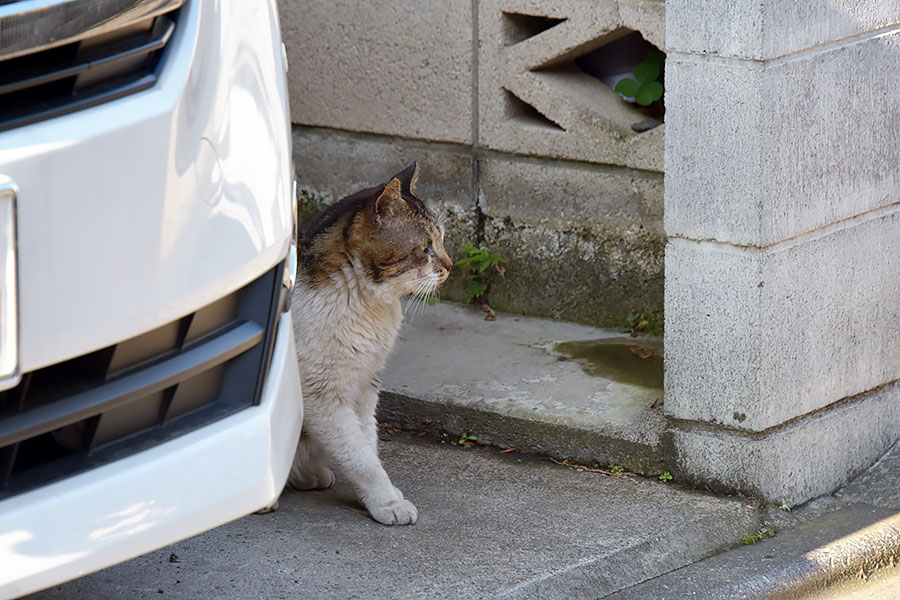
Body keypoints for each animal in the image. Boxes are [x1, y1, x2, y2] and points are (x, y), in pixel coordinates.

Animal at [286, 163, 450, 524]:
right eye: (426, 247)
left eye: (442, 241)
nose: (450, 266)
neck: (366, 302)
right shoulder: (322, 396)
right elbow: (359, 456)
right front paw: (387, 502)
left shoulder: (365, 386)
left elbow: (367, 443)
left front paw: (379, 496)